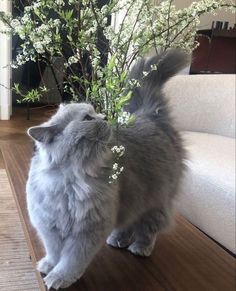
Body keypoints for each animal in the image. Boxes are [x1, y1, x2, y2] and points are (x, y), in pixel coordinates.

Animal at [26, 50, 188, 290]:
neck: (69, 180)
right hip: (132, 200)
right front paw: (48, 265)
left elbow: (71, 261)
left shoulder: (86, 232)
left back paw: (141, 248)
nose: (105, 117)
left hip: (155, 201)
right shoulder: (49, 226)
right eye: (87, 118)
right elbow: (54, 252)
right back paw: (118, 239)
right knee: (128, 223)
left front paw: (58, 277)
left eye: (95, 112)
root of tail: (148, 115)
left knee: (149, 228)